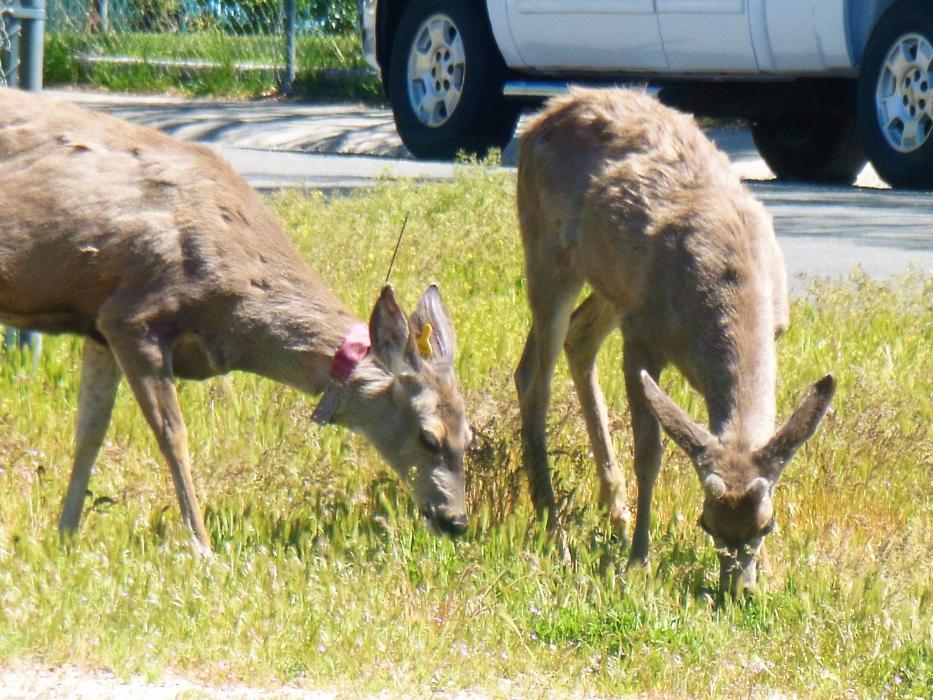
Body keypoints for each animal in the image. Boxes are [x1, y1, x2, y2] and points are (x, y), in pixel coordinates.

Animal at [0, 87, 471, 554]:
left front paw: (64, 535)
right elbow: (173, 435)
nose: (456, 521)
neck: (237, 314)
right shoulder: (133, 316)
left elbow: (89, 432)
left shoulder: (98, 324)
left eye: (467, 438)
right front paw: (203, 547)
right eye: (429, 437)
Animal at [514, 88, 835, 596]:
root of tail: (543, 115)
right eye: (706, 524)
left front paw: (768, 572)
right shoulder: (642, 339)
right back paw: (556, 532)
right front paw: (638, 562)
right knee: (534, 381)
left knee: (577, 340)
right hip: (548, 251)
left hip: (613, 287)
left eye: (767, 525)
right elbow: (651, 453)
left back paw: (615, 511)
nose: (737, 591)